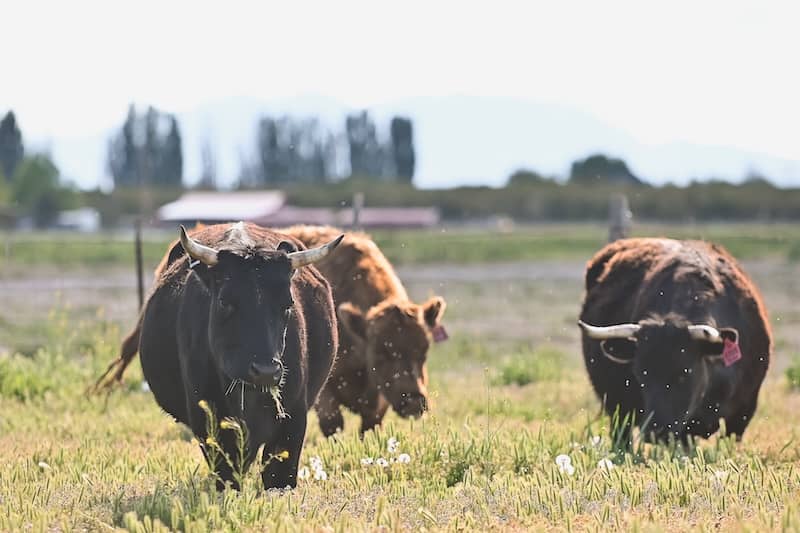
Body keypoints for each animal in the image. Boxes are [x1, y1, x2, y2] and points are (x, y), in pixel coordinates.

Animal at [134, 222, 342, 490]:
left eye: (287, 304)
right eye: (225, 302)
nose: (265, 371)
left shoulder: (293, 417)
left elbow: (279, 475)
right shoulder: (209, 419)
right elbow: (227, 473)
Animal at [283, 226, 447, 437]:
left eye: (424, 351)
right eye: (379, 353)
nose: (413, 403)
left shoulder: (378, 402)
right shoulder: (325, 392)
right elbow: (332, 423)